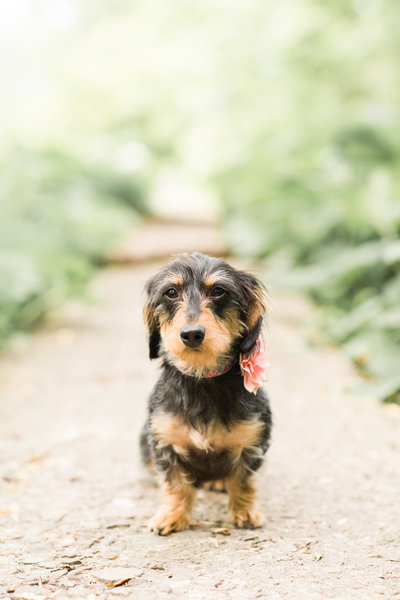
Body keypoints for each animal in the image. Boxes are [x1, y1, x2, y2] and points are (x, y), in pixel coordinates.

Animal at [140, 252, 272, 536]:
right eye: (170, 292)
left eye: (219, 291)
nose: (191, 334)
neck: (202, 380)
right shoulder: (164, 442)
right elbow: (175, 484)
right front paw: (172, 515)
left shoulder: (253, 442)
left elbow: (243, 481)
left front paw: (244, 512)